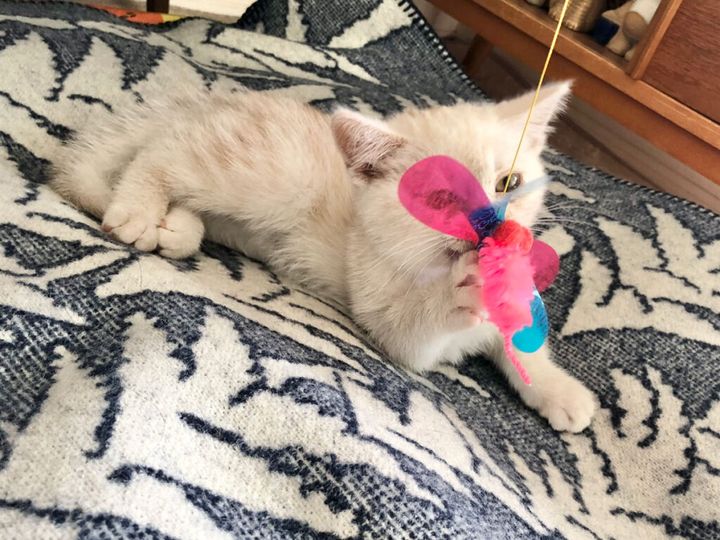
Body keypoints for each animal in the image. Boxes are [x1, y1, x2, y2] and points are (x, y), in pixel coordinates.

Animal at [52, 82, 597, 432]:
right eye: (439, 198)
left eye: (509, 182)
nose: (490, 225)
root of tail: (212, 104)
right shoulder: (385, 316)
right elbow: (415, 332)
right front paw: (457, 295)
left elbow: (521, 339)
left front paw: (558, 391)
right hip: (264, 177)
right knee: (163, 154)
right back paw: (139, 210)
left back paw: (178, 229)